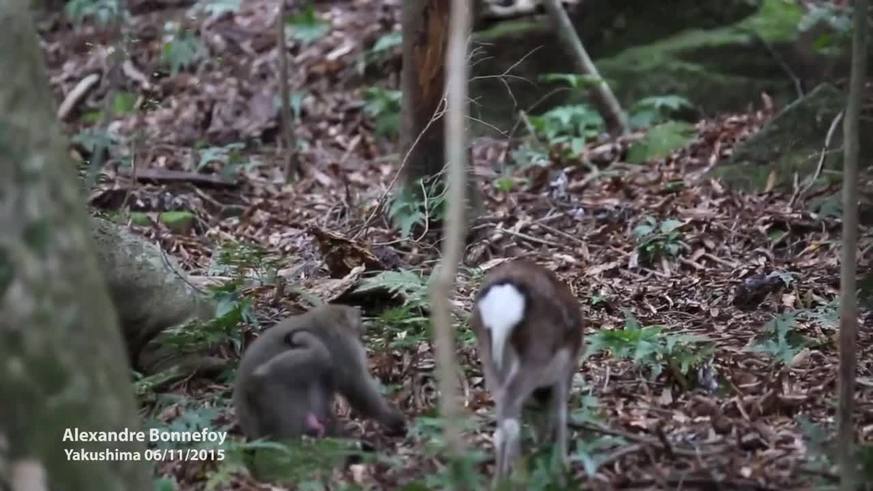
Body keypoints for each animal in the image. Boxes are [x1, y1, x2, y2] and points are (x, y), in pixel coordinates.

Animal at [466, 262, 584, 484]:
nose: (542, 438)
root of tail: (503, 299)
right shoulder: (566, 369)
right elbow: (561, 410)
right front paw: (562, 464)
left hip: (488, 352)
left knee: (503, 413)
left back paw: (501, 479)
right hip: (537, 352)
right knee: (510, 405)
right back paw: (520, 476)